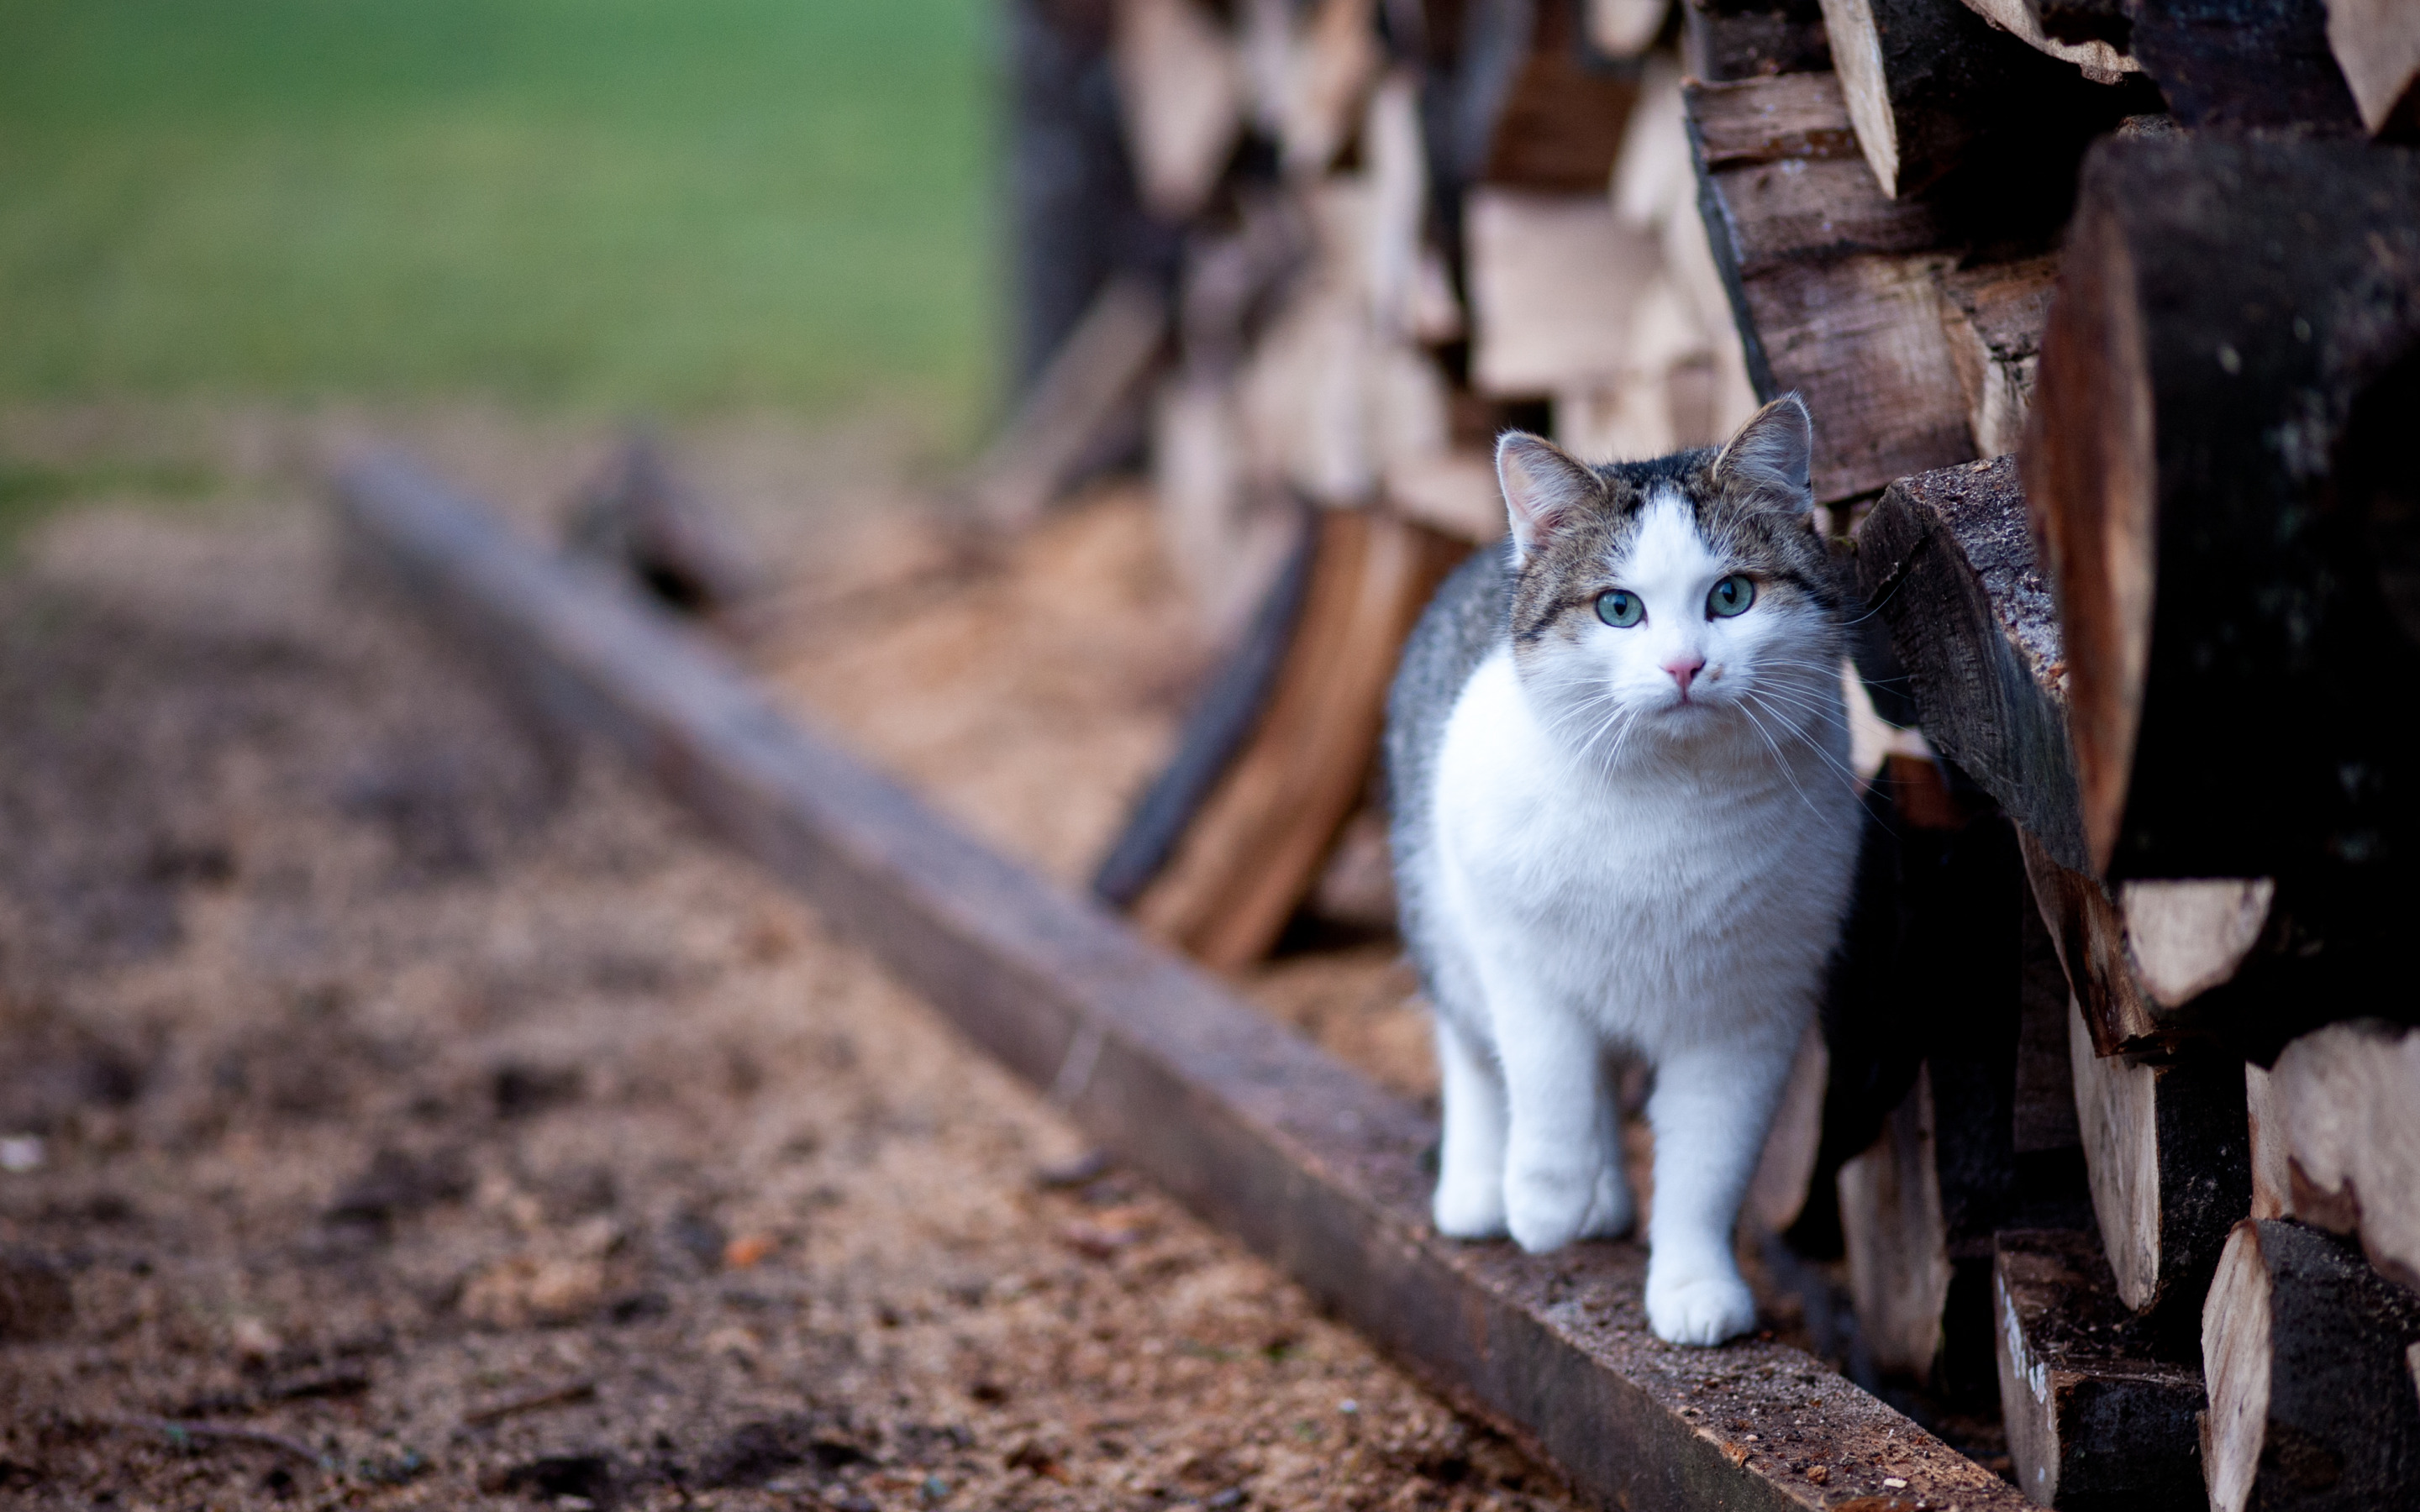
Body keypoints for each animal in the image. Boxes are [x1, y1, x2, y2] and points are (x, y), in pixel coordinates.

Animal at [1384, 391, 1849, 1345]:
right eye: (1619, 609)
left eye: (1732, 596)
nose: (1685, 665)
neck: (1670, 803)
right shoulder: (1517, 954)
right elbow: (1549, 1075)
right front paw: (1544, 1202)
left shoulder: (1750, 1011)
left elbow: (1708, 1161)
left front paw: (1694, 1288)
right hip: (1436, 909)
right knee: (1474, 1051)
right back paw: (1484, 1189)